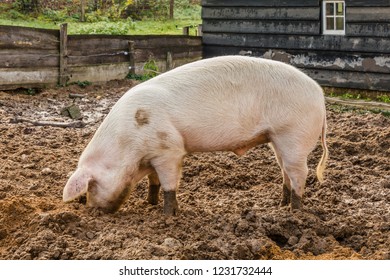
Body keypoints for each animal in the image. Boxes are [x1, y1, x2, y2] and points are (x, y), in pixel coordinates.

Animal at [62, 55, 328, 215]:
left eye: (90, 187)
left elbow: (169, 185)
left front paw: (167, 215)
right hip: (277, 139)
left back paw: (294, 212)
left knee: (299, 173)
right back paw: (280, 206)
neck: (127, 148)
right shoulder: (153, 156)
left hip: (293, 135)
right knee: (285, 171)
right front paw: (149, 203)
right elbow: (154, 182)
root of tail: (320, 95)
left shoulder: (169, 150)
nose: (93, 211)